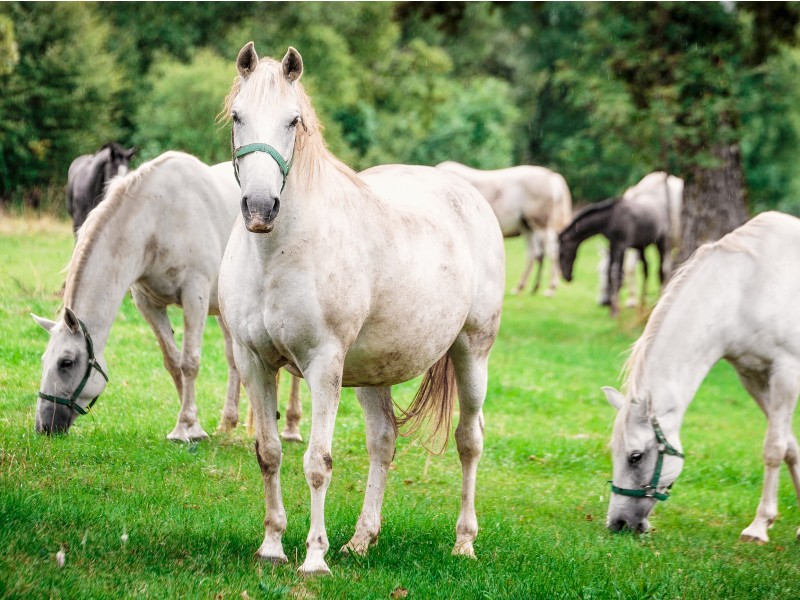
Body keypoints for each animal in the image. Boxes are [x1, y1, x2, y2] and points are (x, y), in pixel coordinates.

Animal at [31, 150, 304, 440]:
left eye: (66, 362)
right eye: (44, 360)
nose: (44, 426)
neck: (157, 221)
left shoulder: (194, 297)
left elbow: (190, 362)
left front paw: (188, 426)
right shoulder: (148, 303)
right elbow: (173, 362)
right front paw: (190, 424)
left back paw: (291, 426)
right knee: (234, 359)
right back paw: (227, 423)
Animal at [217, 43, 506, 576]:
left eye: (293, 120)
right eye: (237, 116)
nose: (260, 208)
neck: (277, 254)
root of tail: (466, 194)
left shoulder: (323, 365)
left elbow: (317, 462)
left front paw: (314, 557)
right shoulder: (254, 361)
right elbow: (269, 452)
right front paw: (272, 546)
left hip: (472, 352)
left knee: (469, 440)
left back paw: (464, 542)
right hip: (374, 372)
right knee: (384, 442)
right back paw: (360, 539)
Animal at [434, 159, 572, 296]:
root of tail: (551, 177)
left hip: (541, 225)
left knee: (552, 251)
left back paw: (551, 288)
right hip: (526, 226)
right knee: (532, 253)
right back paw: (521, 287)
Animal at [608, 212, 800, 544]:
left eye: (635, 456)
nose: (617, 523)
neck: (745, 288)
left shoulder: (786, 373)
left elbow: (774, 448)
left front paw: (759, 526)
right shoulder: (753, 376)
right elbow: (791, 447)